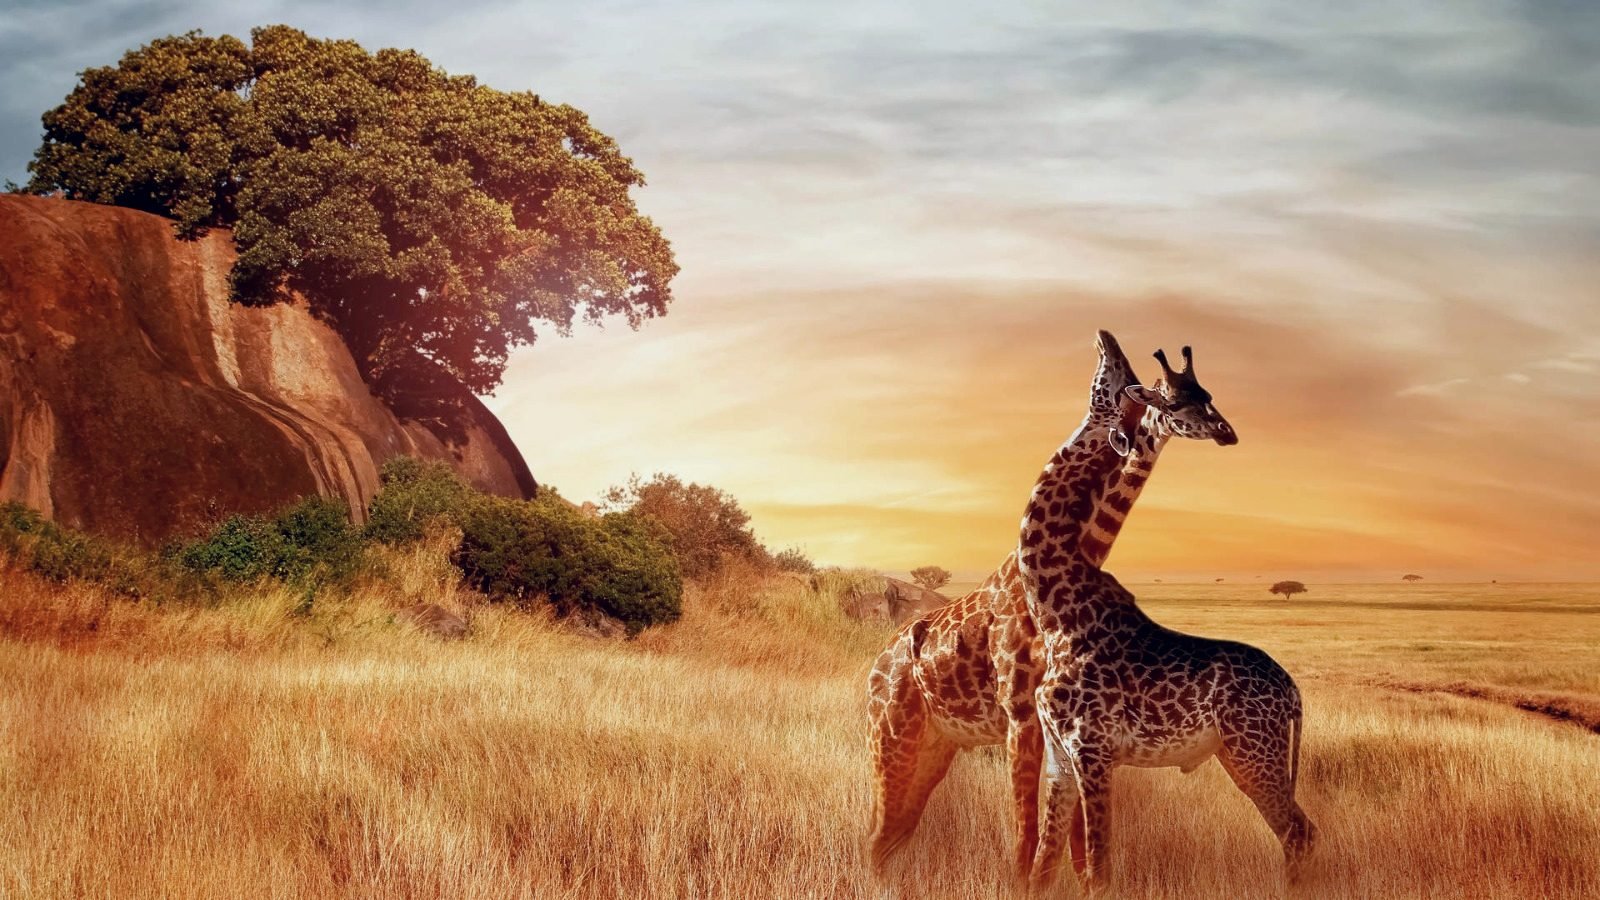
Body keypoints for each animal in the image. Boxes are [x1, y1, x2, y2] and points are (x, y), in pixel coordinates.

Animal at [865, 331, 1222, 876]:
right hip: (891, 738)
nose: (1106, 337)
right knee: (877, 835)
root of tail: (875, 666)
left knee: (891, 836)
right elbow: (1028, 833)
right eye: (1119, 379)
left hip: (936, 745)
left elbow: (1066, 838)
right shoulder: (1021, 713)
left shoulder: (1056, 723)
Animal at [1019, 346, 1315, 893]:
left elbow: (1098, 870)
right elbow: (1042, 868)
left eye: (1205, 396)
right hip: (1243, 752)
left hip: (1254, 750)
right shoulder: (1058, 758)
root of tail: (1293, 692)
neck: (1054, 614)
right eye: (1177, 399)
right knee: (1300, 831)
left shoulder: (1093, 750)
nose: (1226, 431)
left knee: (1298, 832)